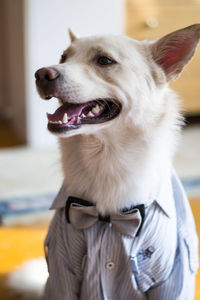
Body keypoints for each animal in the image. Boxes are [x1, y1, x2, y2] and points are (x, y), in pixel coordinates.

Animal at [35, 24, 199, 298]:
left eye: (104, 61)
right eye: (63, 57)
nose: (41, 74)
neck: (107, 158)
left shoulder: (172, 272)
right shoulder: (60, 266)